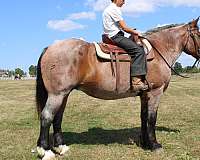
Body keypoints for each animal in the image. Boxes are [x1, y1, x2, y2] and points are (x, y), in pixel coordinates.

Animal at [35, 17, 199, 159]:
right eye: (198, 34)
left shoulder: (144, 94)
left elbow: (143, 117)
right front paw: (155, 145)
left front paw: (145, 143)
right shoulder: (155, 92)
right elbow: (152, 119)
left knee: (57, 117)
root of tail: (50, 47)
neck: (159, 51)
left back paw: (60, 147)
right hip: (57, 94)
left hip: (64, 94)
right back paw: (45, 151)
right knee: (46, 117)